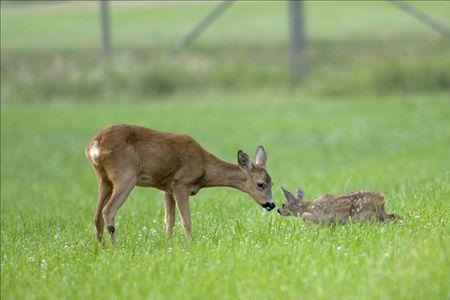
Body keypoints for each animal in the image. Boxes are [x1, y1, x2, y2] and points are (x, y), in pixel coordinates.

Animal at [84, 124, 274, 244]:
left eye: (272, 183)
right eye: (260, 184)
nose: (271, 204)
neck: (204, 166)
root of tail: (94, 144)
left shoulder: (166, 188)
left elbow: (169, 220)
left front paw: (169, 245)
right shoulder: (181, 184)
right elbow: (186, 220)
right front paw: (191, 245)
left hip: (103, 178)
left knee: (97, 215)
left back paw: (102, 248)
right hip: (125, 176)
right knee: (108, 211)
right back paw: (115, 248)